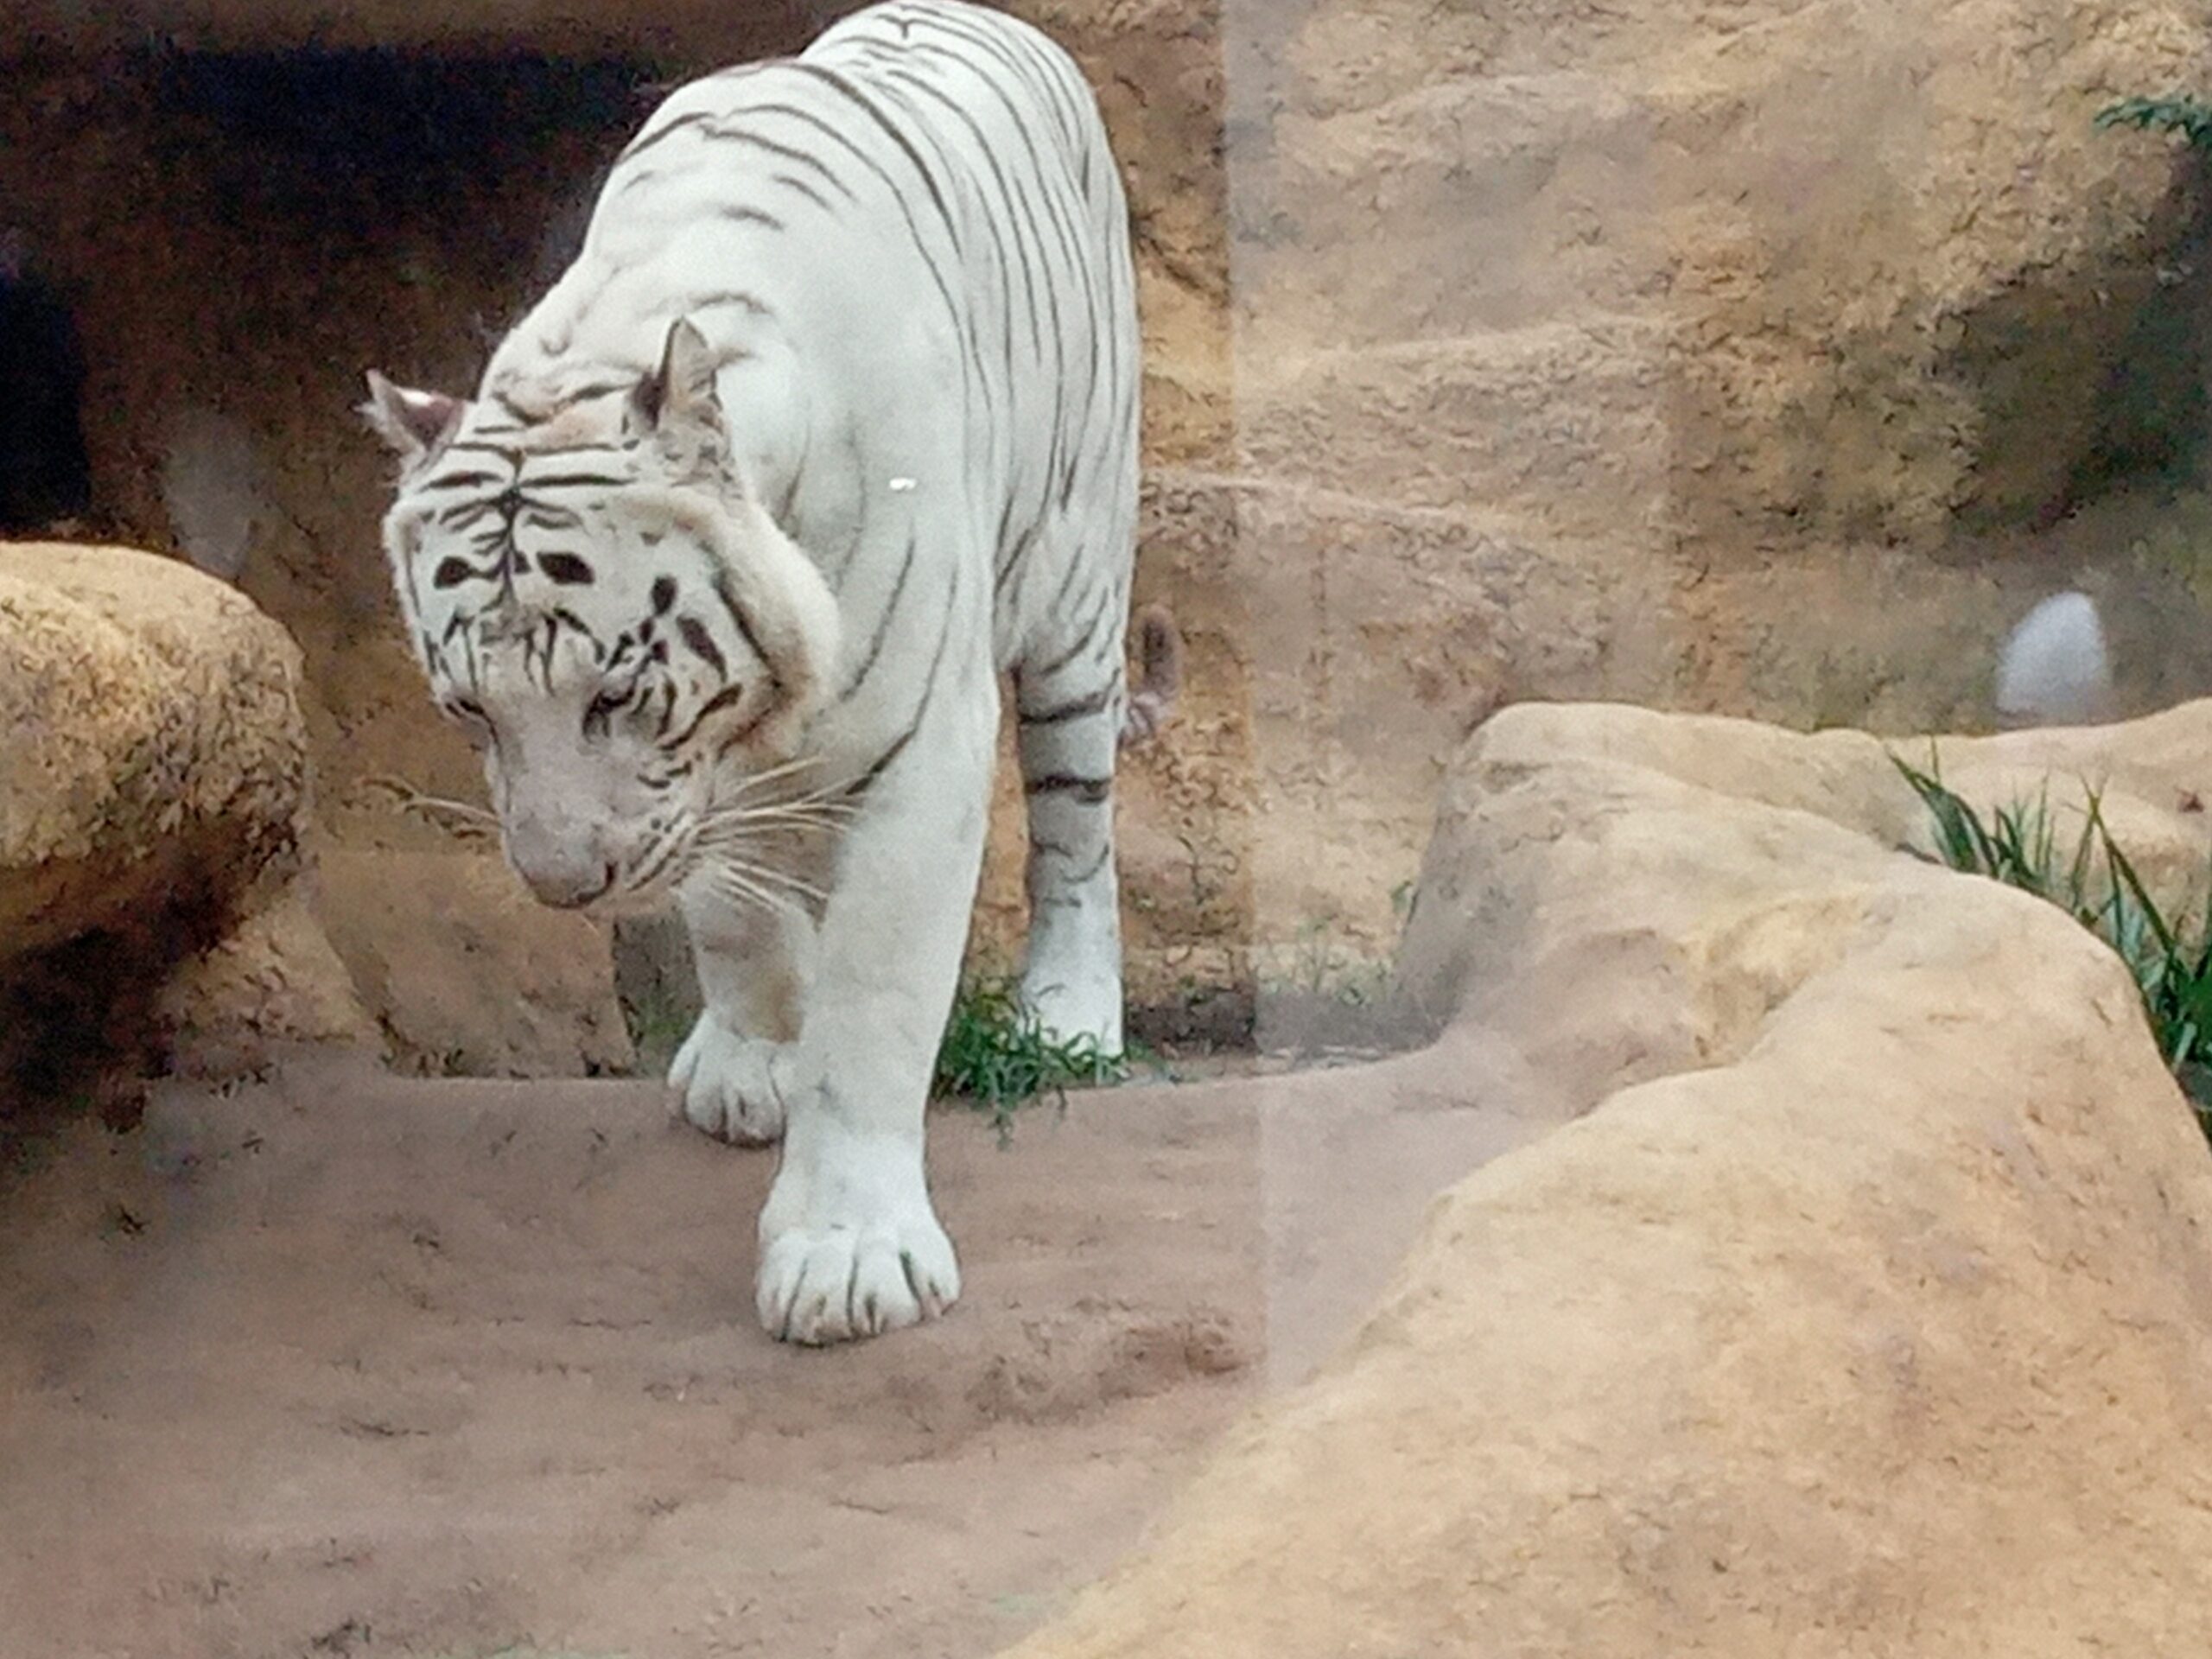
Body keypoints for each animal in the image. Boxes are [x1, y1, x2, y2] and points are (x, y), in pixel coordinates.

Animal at [360, 0, 1159, 1353]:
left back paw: (1069, 1016)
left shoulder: (920, 751)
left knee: (1075, 825)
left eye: (610, 697)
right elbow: (732, 909)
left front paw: (848, 1258)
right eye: (470, 712)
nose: (562, 890)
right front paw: (748, 1063)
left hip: (1076, 585)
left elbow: (874, 1003)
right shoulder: (711, 778)